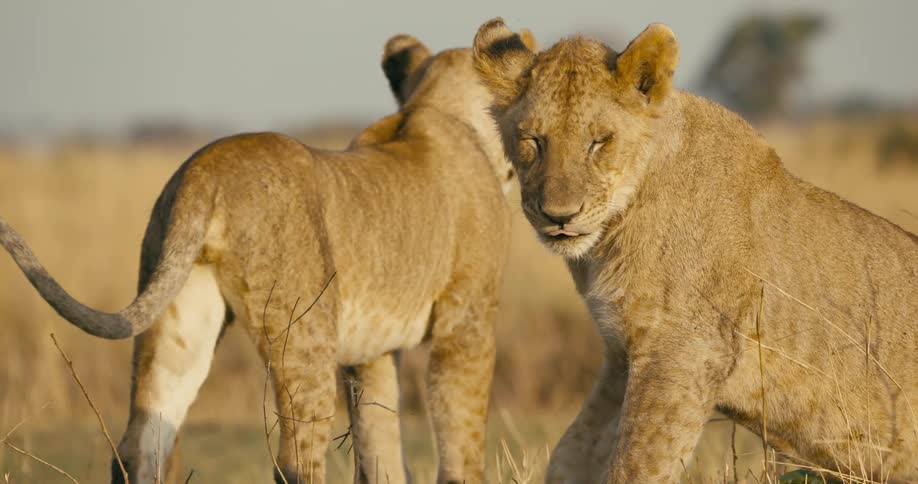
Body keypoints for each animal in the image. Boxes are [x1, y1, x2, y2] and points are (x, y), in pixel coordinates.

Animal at [0, 29, 537, 484]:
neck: (437, 109)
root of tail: (205, 169)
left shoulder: (372, 353)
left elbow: (381, 446)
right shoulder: (467, 326)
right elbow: (461, 438)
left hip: (179, 317)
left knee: (141, 443)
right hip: (305, 330)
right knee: (295, 460)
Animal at [473, 18, 918, 483]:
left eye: (599, 142)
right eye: (533, 140)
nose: (559, 216)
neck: (615, 231)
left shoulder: (683, 350)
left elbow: (638, 464)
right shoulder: (622, 354)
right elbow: (573, 453)